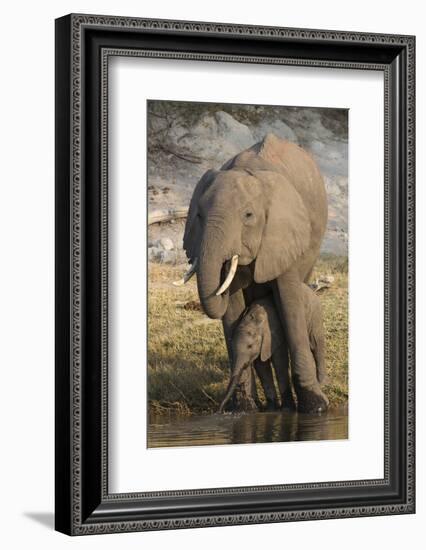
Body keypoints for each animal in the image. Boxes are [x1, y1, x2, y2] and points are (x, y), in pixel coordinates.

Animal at [178, 135, 328, 414]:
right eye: (199, 215)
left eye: (248, 215)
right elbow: (233, 308)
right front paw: (244, 409)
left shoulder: (282, 234)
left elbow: (289, 303)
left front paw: (315, 407)